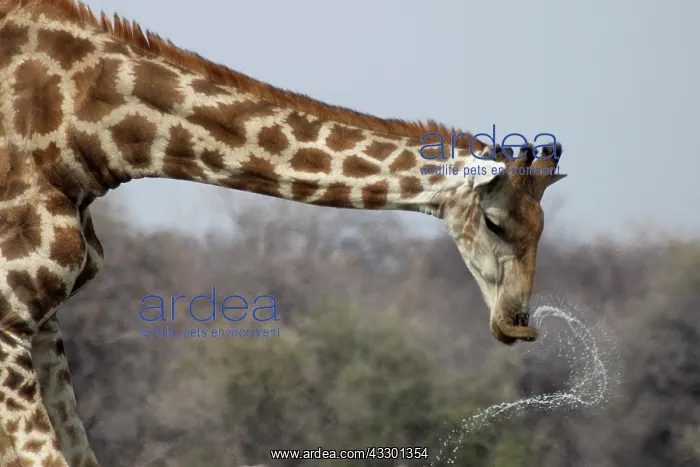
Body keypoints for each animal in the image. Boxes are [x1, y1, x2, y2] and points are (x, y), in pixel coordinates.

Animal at [0, 0, 566, 465]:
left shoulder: (44, 320)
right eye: (494, 222)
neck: (86, 135)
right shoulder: (10, 313)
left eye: (542, 230)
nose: (517, 323)